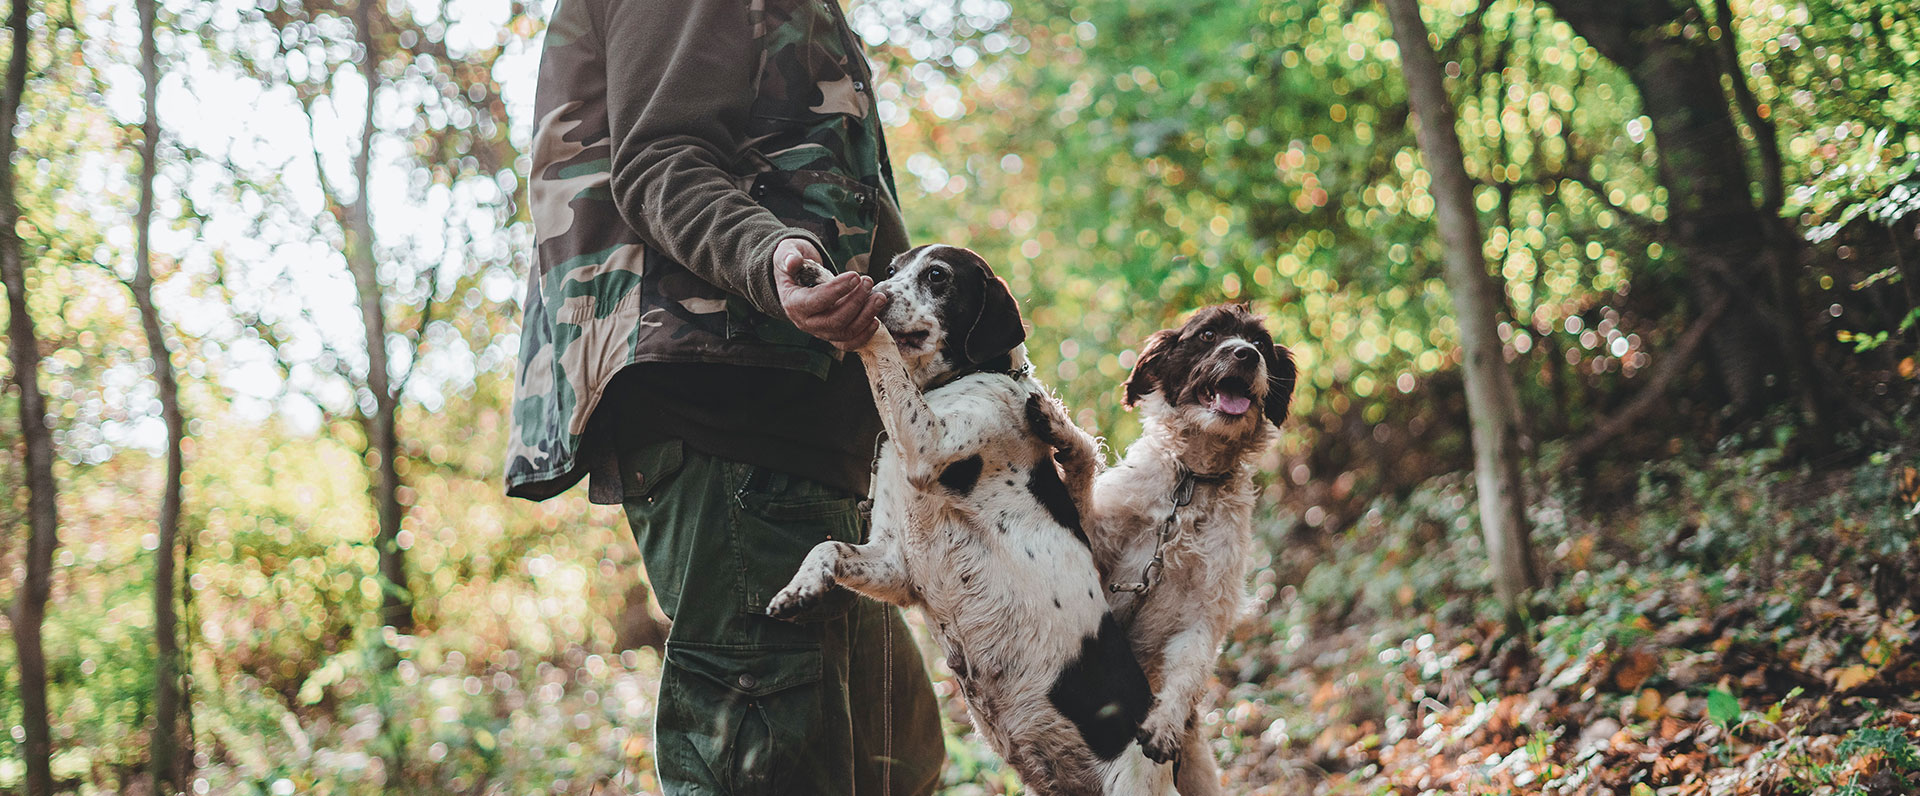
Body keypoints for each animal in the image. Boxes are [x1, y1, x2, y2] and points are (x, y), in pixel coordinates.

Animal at [1090, 303, 1297, 794]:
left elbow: (1190, 666)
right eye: (1207, 335)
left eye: (1260, 344)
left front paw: (1165, 725)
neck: (1190, 486)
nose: (1245, 355)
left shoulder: (1207, 609)